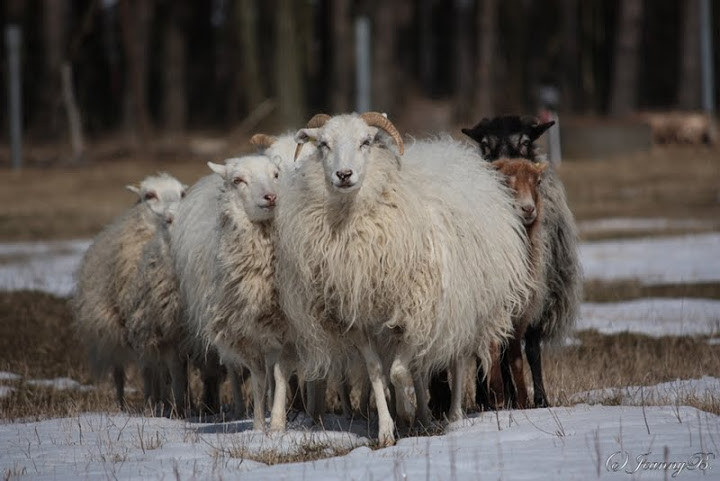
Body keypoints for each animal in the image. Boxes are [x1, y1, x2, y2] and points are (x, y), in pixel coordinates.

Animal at [71, 172, 186, 408]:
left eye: (182, 193)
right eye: (149, 195)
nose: (176, 212)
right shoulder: (158, 328)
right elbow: (171, 370)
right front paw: (177, 407)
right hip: (114, 329)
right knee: (124, 372)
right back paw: (126, 404)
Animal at [170, 155, 294, 432]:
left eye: (276, 174)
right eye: (239, 180)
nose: (271, 197)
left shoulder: (288, 329)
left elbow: (279, 373)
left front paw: (277, 424)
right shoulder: (242, 333)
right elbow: (258, 377)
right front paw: (258, 426)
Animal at [276, 110, 536, 444]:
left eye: (366, 142)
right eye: (323, 144)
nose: (344, 175)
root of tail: (447, 148)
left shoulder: (419, 313)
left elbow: (400, 371)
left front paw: (406, 412)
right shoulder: (360, 320)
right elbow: (378, 371)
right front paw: (389, 429)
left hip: (462, 307)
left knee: (456, 360)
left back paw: (453, 415)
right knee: (420, 368)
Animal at [462, 114, 584, 406]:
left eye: (526, 142)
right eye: (484, 145)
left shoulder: (537, 293)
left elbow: (531, 349)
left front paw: (539, 398)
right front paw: (493, 395)